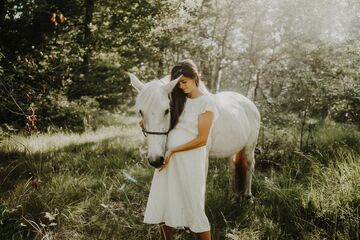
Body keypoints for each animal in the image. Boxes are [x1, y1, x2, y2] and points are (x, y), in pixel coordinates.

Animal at [128, 73, 260, 197]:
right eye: (141, 112)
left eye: (166, 110)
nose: (155, 161)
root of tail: (249, 102)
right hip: (231, 149)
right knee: (232, 168)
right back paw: (232, 195)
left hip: (249, 148)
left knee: (250, 165)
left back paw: (248, 195)